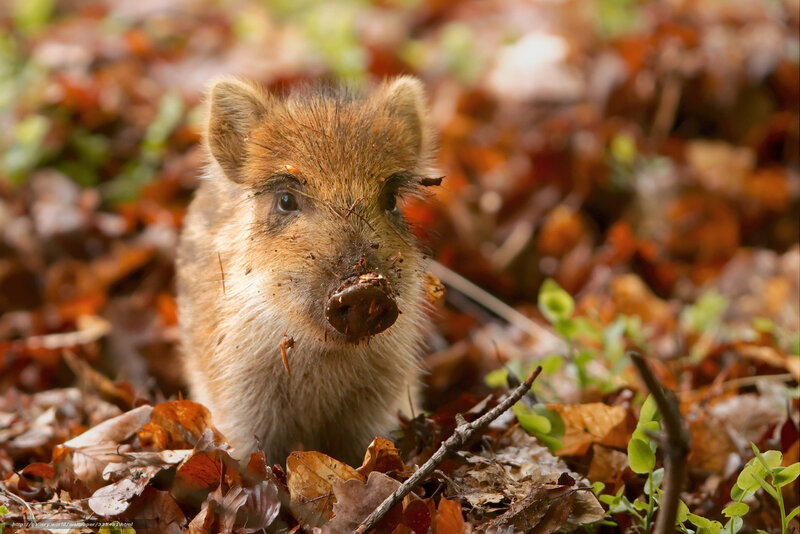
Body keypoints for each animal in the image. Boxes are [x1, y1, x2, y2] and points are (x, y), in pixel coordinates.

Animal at [176, 76, 437, 465]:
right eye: (286, 200)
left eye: (390, 199)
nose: (362, 289)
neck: (322, 362)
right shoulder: (238, 393)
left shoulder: (380, 396)